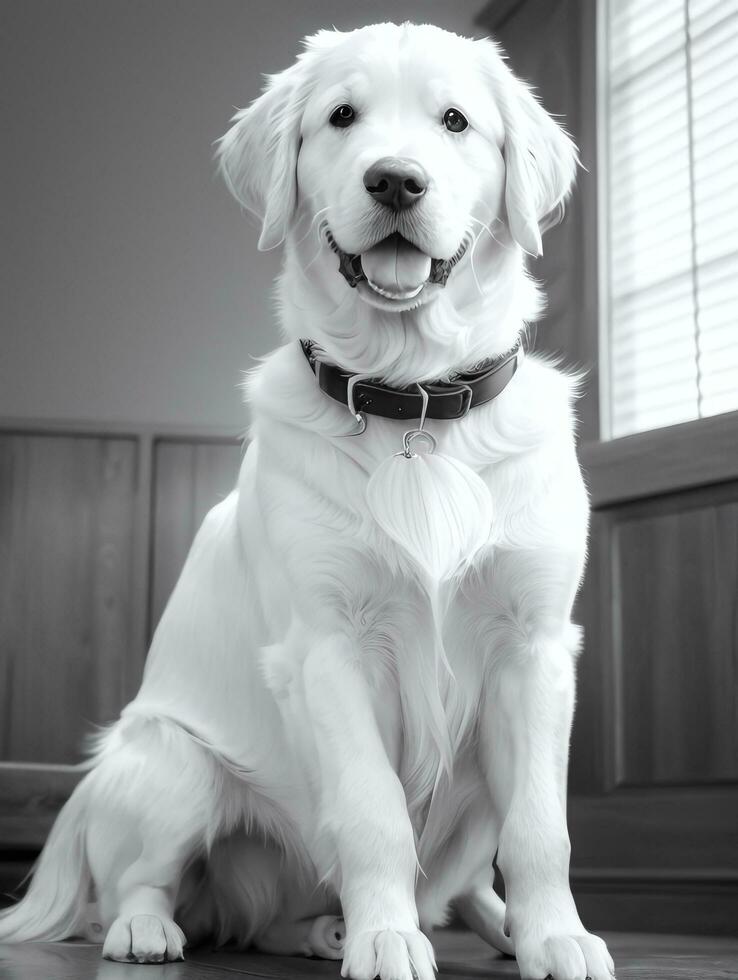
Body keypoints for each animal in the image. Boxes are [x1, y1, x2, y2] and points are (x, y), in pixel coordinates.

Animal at [0, 23, 608, 980]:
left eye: (455, 121)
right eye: (342, 116)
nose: (395, 179)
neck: (413, 400)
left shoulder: (534, 646)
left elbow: (542, 828)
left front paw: (556, 935)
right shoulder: (331, 649)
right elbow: (372, 815)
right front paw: (386, 936)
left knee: (451, 883)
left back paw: (458, 924)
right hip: (172, 759)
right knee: (143, 885)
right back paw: (158, 932)